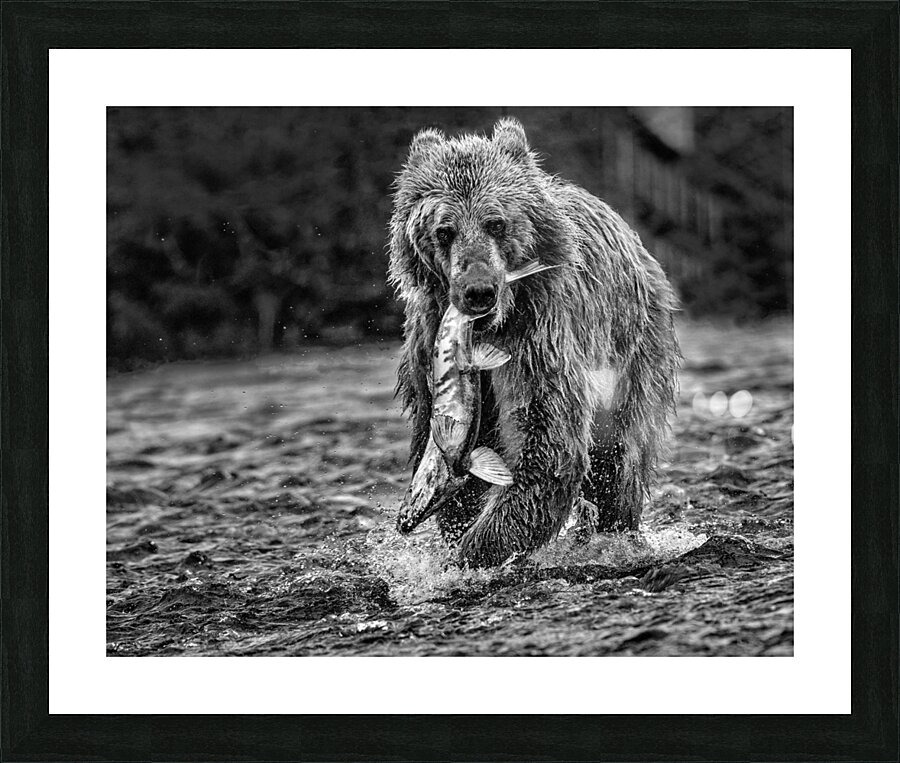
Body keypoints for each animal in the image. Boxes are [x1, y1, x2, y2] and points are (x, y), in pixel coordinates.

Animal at [388, 117, 681, 567]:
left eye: (495, 222)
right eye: (444, 230)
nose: (478, 291)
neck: (490, 330)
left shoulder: (537, 337)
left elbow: (546, 442)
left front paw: (473, 553)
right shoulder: (426, 349)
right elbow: (455, 472)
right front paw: (456, 536)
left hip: (635, 352)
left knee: (618, 461)